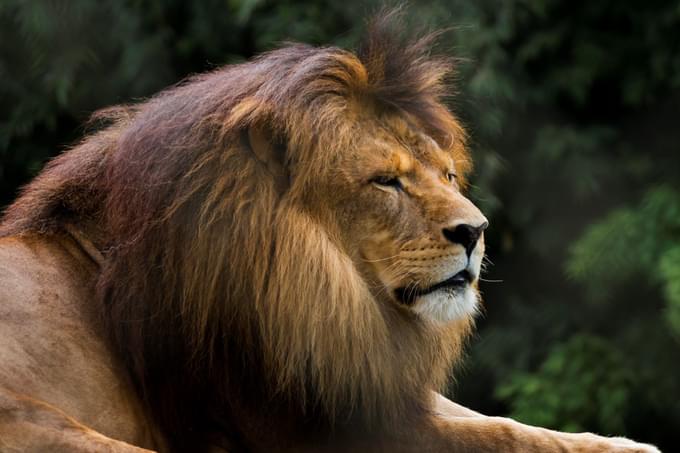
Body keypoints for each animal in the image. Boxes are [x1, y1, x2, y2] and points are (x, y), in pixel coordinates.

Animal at [0, 11, 660, 452]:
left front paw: (617, 442)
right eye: (385, 182)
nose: (476, 231)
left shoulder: (357, 377)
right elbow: (495, 436)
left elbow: (495, 420)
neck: (335, 291)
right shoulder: (306, 428)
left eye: (448, 174)